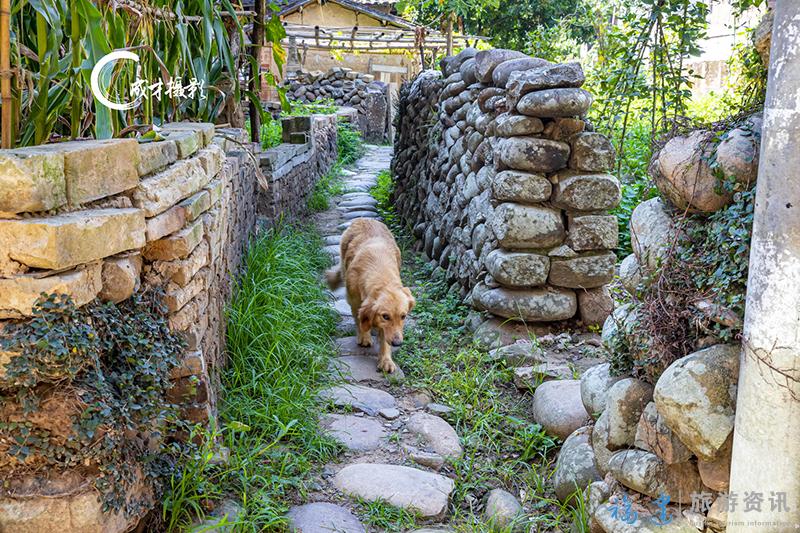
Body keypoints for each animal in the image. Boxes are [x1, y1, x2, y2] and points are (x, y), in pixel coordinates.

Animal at [324, 218, 416, 372]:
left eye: (403, 316)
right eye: (385, 316)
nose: (397, 343)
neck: (381, 275)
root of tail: (364, 218)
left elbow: (384, 337)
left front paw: (386, 360)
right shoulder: (354, 301)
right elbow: (359, 319)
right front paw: (364, 336)